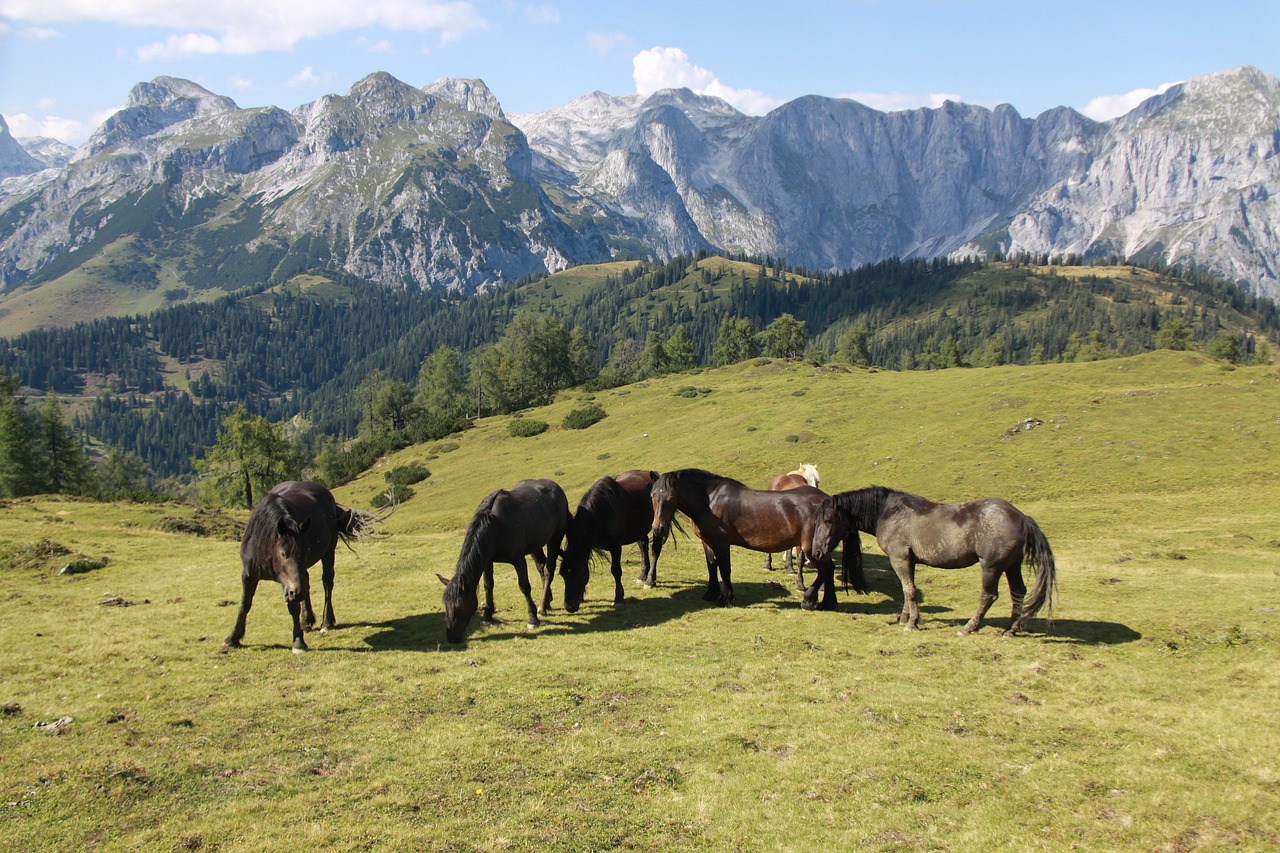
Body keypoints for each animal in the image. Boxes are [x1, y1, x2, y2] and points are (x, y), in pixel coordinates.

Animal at [225, 479, 378, 650]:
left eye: (306, 552)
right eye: (283, 553)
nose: (297, 592)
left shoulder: (288, 582)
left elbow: (293, 606)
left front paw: (298, 642)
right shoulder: (249, 574)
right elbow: (245, 603)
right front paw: (233, 638)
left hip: (329, 551)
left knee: (327, 582)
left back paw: (326, 622)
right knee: (307, 582)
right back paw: (307, 620)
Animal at [437, 473, 568, 640]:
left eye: (459, 608)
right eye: (445, 606)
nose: (451, 638)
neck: (496, 525)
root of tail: (556, 487)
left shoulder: (518, 559)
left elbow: (524, 586)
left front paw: (532, 619)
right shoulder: (487, 561)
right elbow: (488, 585)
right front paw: (487, 616)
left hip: (555, 538)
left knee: (548, 570)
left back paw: (541, 608)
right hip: (536, 545)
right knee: (541, 567)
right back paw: (546, 604)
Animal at [560, 466, 660, 612]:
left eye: (578, 573)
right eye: (563, 574)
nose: (569, 607)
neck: (602, 511)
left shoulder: (615, 547)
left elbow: (616, 571)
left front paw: (619, 597)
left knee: (655, 549)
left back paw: (650, 580)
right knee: (643, 545)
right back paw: (642, 575)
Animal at [650, 466, 860, 612]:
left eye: (670, 498)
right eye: (652, 495)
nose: (658, 528)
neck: (710, 500)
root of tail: (829, 502)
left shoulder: (721, 543)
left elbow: (724, 569)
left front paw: (726, 598)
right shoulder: (707, 542)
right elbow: (712, 565)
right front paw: (711, 593)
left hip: (810, 547)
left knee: (825, 569)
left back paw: (809, 600)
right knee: (829, 568)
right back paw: (828, 602)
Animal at [814, 481, 1054, 635]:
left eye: (828, 520)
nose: (816, 552)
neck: (887, 513)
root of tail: (1021, 517)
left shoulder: (899, 558)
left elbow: (909, 591)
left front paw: (911, 624)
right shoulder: (908, 561)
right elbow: (907, 592)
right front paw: (906, 618)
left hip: (991, 567)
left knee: (989, 595)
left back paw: (969, 627)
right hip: (1012, 566)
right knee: (1019, 592)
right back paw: (1011, 629)